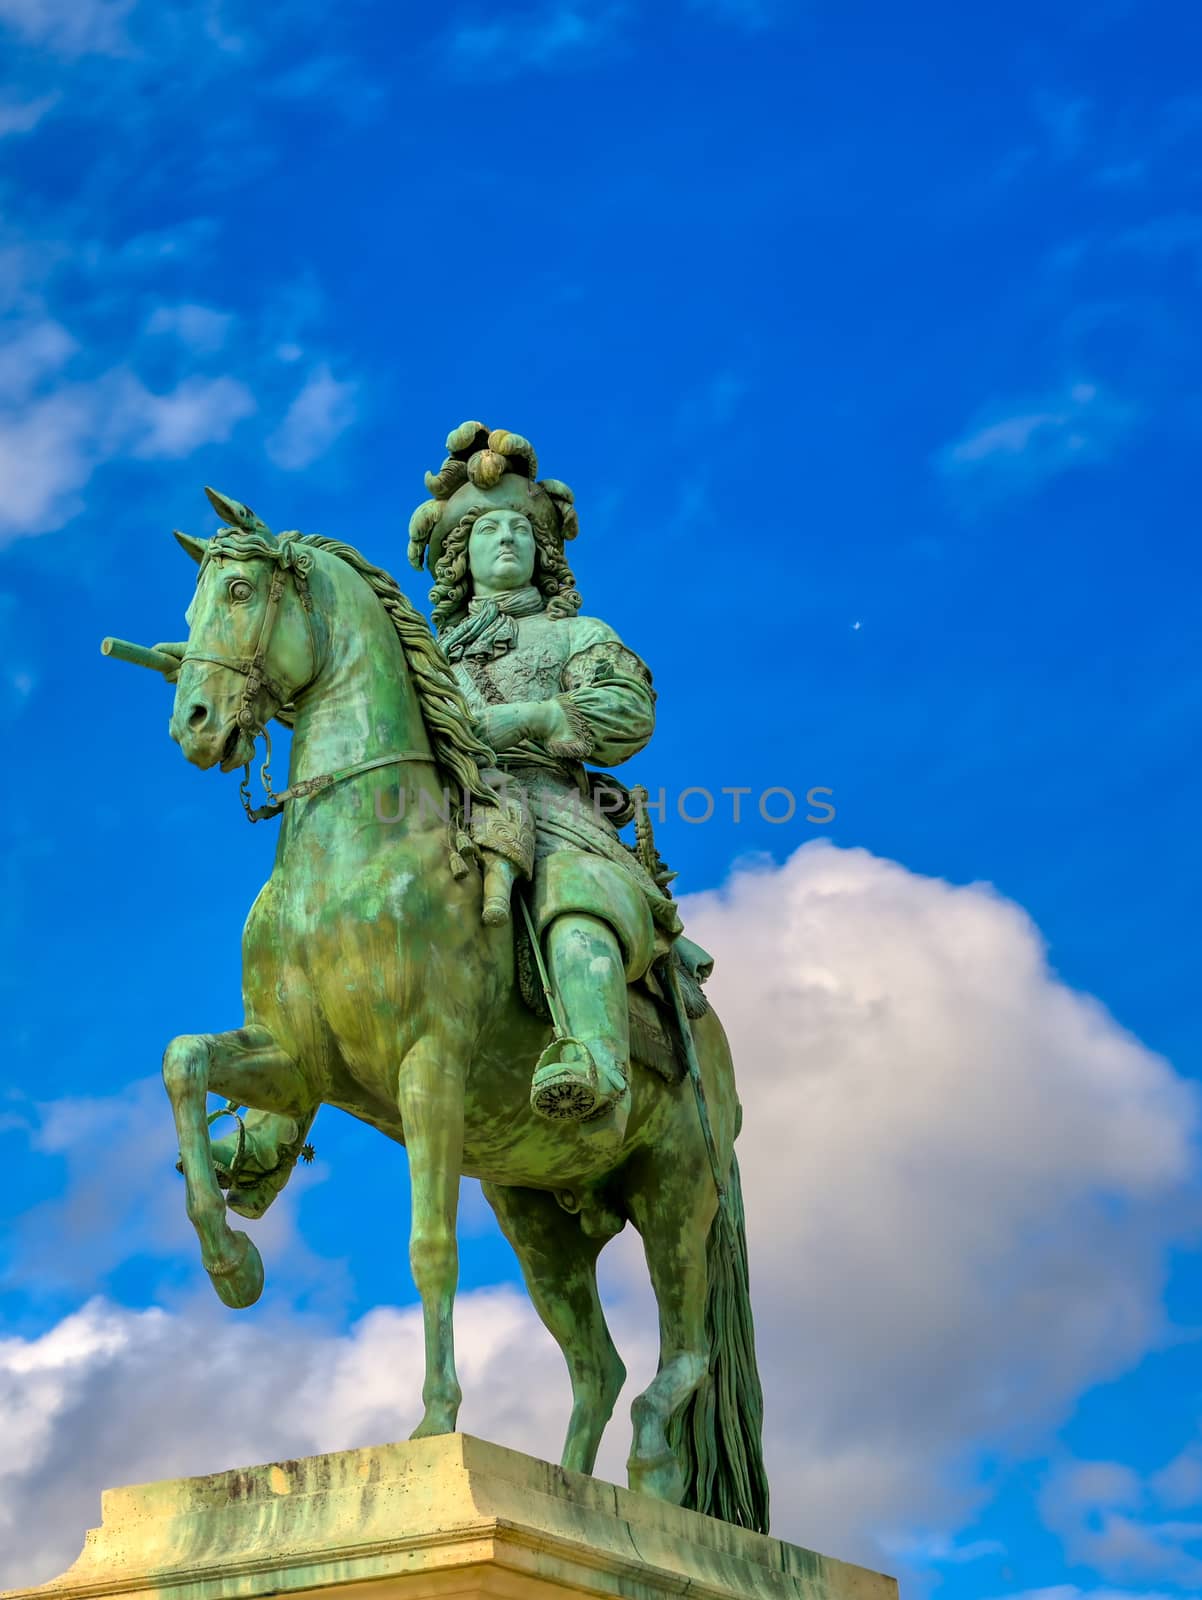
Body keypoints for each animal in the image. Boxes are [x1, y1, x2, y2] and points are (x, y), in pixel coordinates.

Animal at [155, 499, 765, 1523]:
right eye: (192, 604)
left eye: (239, 590)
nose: (193, 723)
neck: (352, 852)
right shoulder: (296, 1064)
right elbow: (184, 1058)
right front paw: (233, 1264)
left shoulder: (428, 1066)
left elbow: (428, 1247)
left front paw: (435, 1424)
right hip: (537, 1215)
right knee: (599, 1366)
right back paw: (572, 1486)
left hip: (677, 1189)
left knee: (685, 1352)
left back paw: (654, 1470)